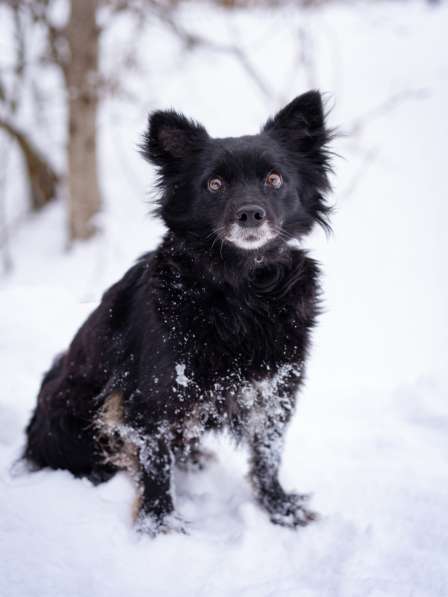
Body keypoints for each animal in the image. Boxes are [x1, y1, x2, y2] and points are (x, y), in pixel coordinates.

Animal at [24, 91, 332, 532]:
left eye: (274, 179)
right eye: (214, 184)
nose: (250, 214)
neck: (241, 289)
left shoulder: (274, 392)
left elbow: (267, 457)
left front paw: (280, 508)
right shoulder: (151, 399)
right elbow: (155, 467)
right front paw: (160, 528)